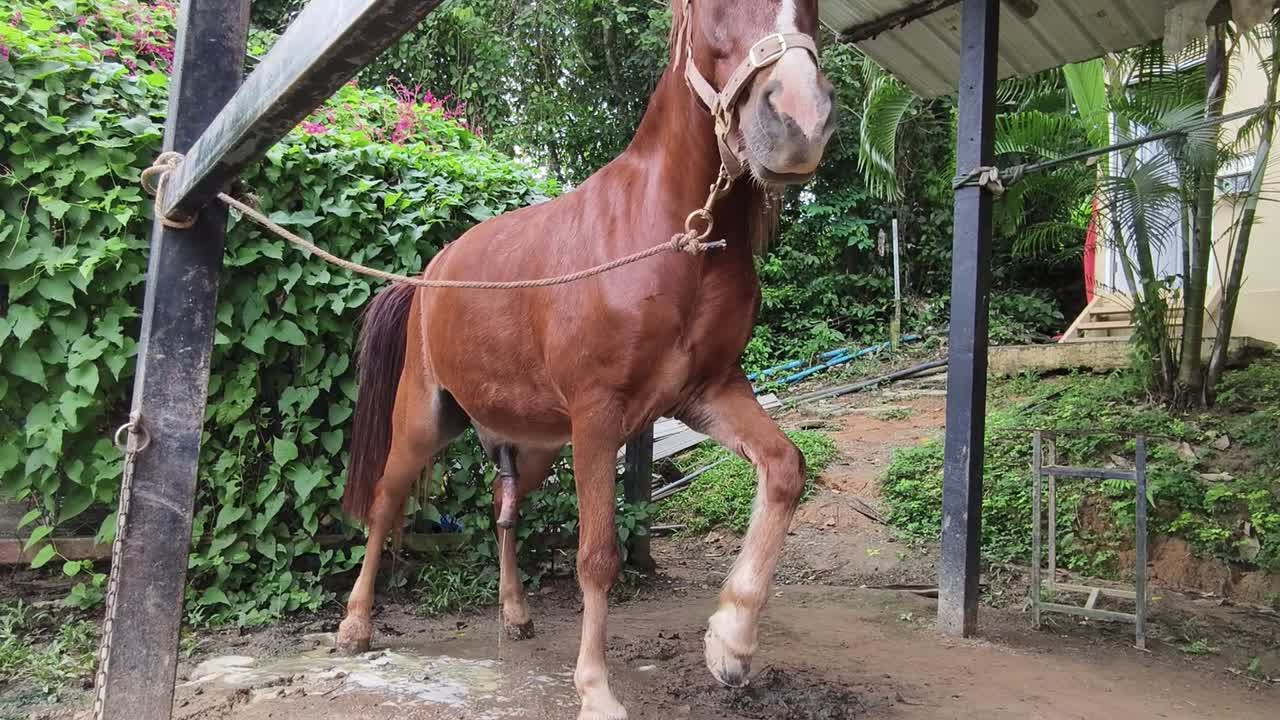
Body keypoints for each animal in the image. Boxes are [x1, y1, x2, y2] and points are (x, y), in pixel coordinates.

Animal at [335, 1, 835, 717]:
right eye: (709, 9)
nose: (799, 122)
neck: (669, 237)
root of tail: (427, 275)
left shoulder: (710, 392)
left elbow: (786, 468)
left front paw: (731, 642)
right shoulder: (599, 418)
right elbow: (597, 555)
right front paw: (597, 693)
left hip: (535, 445)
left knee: (502, 509)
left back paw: (515, 614)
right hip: (422, 424)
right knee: (383, 504)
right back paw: (354, 625)